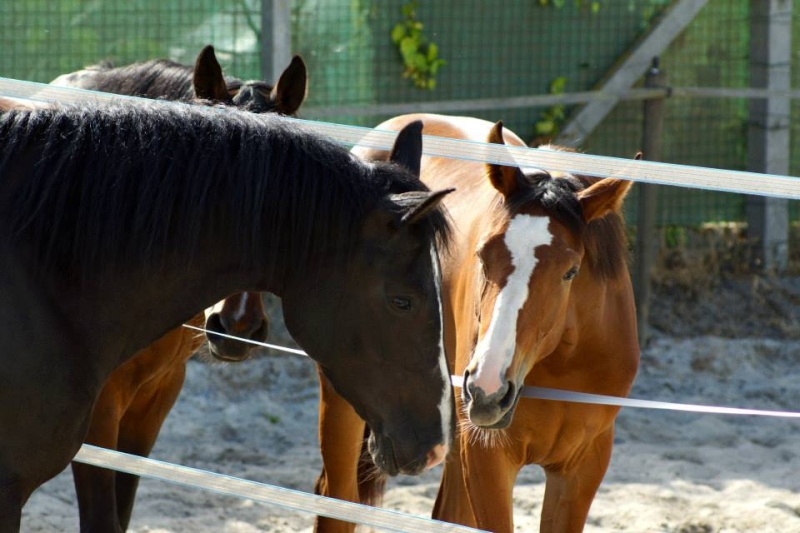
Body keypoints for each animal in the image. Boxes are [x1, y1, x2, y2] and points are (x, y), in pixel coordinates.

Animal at [316, 113, 640, 532]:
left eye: (570, 272)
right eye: (483, 255)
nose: (488, 389)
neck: (561, 366)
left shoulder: (583, 466)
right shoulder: (487, 457)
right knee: (338, 499)